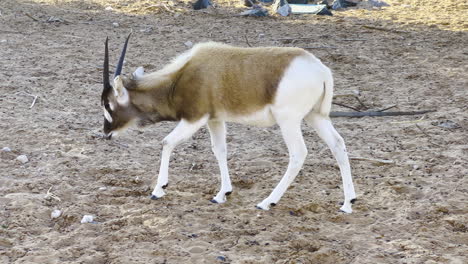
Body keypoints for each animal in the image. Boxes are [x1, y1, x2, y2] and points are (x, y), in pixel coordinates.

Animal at [102, 34, 356, 212]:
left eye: (108, 104)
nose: (106, 134)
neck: (182, 75)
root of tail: (321, 70)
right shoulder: (215, 119)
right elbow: (220, 150)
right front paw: (222, 193)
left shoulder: (195, 118)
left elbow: (167, 143)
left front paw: (158, 189)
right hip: (316, 116)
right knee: (338, 144)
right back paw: (348, 203)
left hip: (289, 121)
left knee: (298, 153)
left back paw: (267, 202)